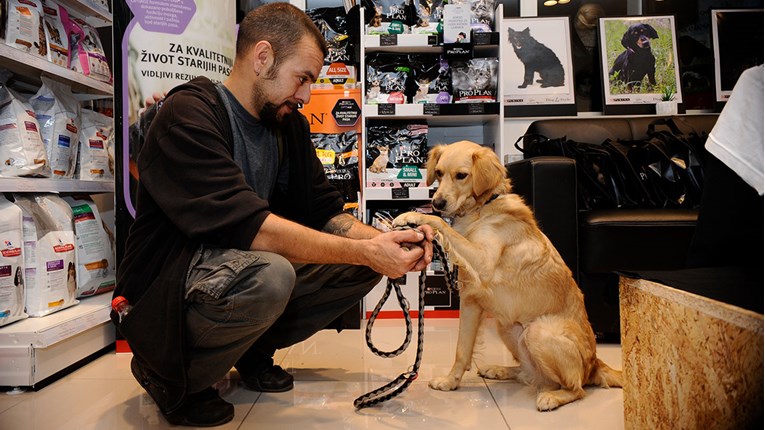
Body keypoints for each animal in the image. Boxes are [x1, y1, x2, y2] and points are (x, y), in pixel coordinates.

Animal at [394, 140, 620, 410]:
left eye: (461, 175)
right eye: (438, 173)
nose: (437, 203)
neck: (484, 206)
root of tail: (595, 364)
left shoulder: (482, 263)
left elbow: (443, 226)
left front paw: (415, 215)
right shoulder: (471, 301)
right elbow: (462, 350)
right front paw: (450, 382)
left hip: (538, 331)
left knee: (576, 388)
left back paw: (553, 397)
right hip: (507, 326)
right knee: (529, 373)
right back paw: (499, 370)